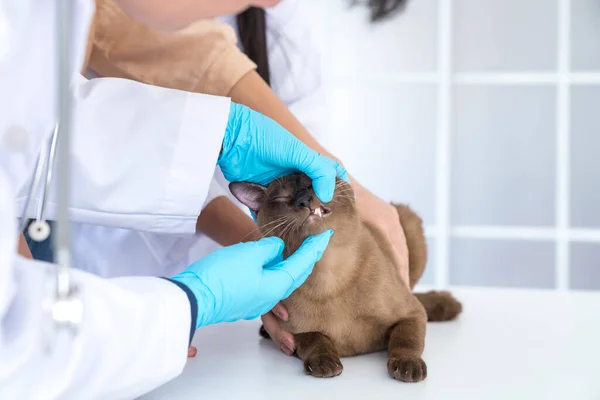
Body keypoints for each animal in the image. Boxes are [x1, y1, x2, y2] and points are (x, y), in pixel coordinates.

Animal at [229, 174, 460, 382]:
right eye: (282, 197)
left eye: (312, 183)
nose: (304, 199)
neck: (327, 276)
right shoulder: (293, 331)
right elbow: (315, 340)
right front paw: (325, 365)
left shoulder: (411, 314)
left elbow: (405, 341)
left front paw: (407, 367)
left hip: (408, 222)